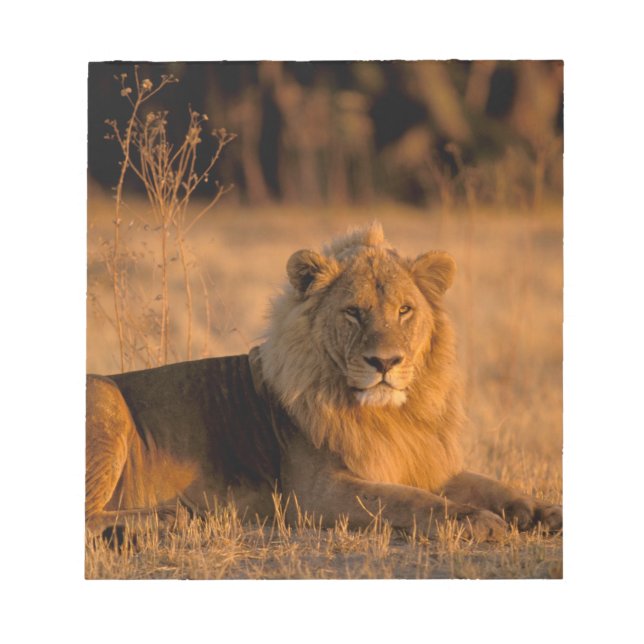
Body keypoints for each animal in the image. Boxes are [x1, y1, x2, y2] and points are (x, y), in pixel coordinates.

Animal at [86, 222, 562, 541]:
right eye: (353, 312)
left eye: (405, 310)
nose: (385, 362)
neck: (391, 416)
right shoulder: (314, 494)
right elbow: (409, 500)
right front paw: (477, 521)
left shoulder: (416, 459)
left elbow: (488, 484)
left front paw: (543, 512)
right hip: (106, 398)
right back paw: (165, 519)